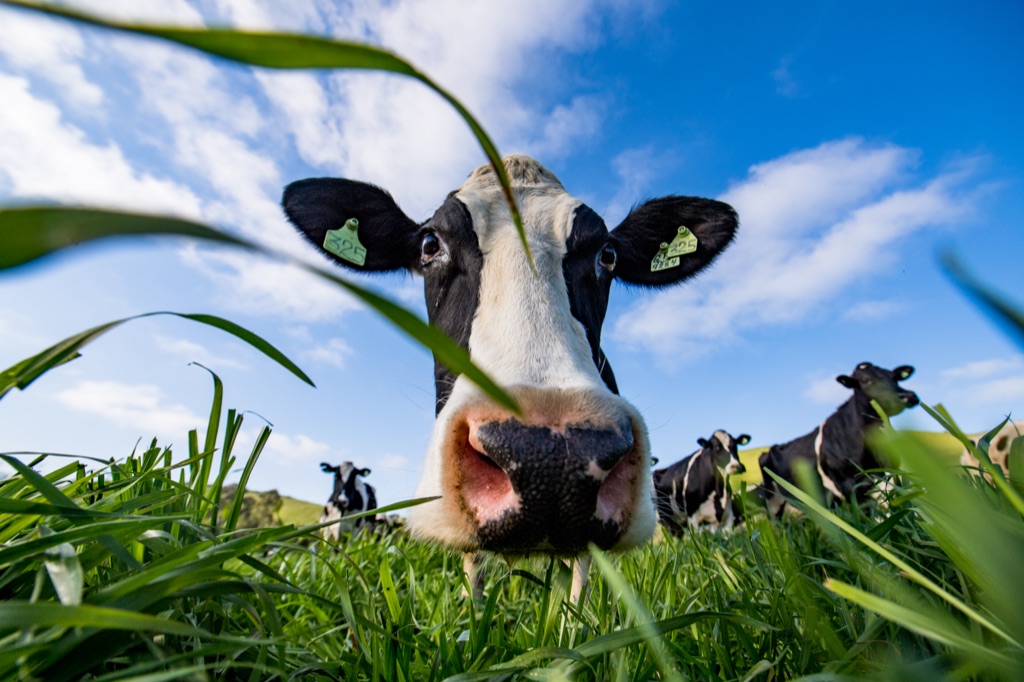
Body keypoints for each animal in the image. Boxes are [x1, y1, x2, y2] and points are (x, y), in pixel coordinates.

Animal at [759, 362, 919, 517]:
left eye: (895, 377)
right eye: (866, 381)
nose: (908, 395)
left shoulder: (888, 470)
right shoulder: (849, 485)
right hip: (773, 501)